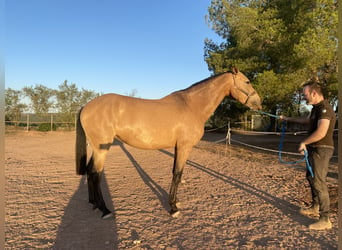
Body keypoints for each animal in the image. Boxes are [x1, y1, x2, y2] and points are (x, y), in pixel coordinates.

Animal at [75, 68, 262, 219]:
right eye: (247, 81)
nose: (259, 103)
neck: (192, 106)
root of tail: (86, 107)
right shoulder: (184, 147)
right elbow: (177, 174)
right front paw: (173, 208)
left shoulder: (178, 147)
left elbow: (176, 173)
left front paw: (176, 202)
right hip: (102, 148)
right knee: (95, 174)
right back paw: (104, 210)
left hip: (96, 148)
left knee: (90, 171)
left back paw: (93, 204)